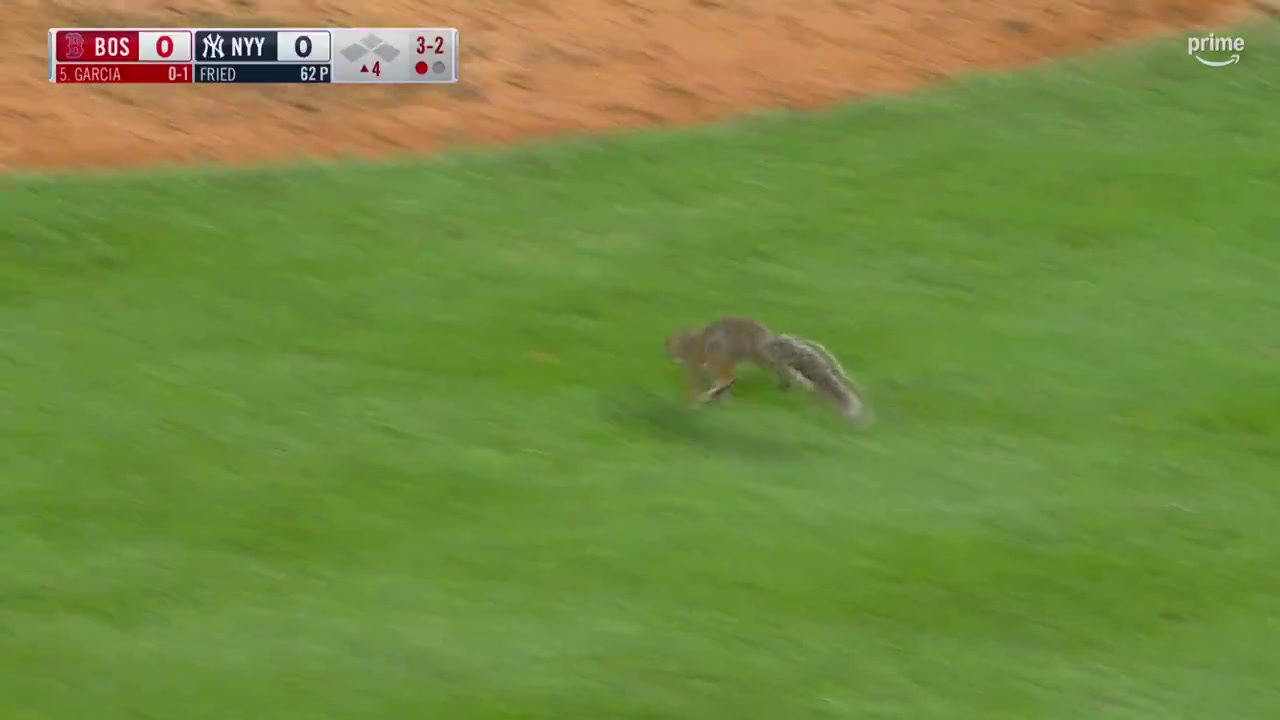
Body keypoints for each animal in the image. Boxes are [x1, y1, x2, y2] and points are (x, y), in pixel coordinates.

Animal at [664, 316, 869, 425]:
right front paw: (720, 402)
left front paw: (693, 403)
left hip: (745, 358)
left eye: (670, 345)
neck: (689, 342)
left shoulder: (694, 364)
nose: (671, 357)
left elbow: (694, 384)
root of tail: (767, 340)